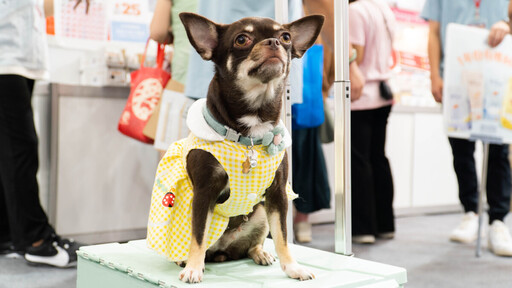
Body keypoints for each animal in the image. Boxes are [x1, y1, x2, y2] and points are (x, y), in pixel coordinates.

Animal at [146, 11, 324, 284]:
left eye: (286, 37)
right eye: (242, 39)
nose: (274, 42)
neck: (251, 131)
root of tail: (222, 252)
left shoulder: (277, 195)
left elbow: (282, 236)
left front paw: (293, 268)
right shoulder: (204, 193)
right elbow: (198, 235)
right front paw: (194, 268)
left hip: (260, 212)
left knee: (253, 244)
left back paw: (260, 253)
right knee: (200, 243)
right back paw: (185, 260)